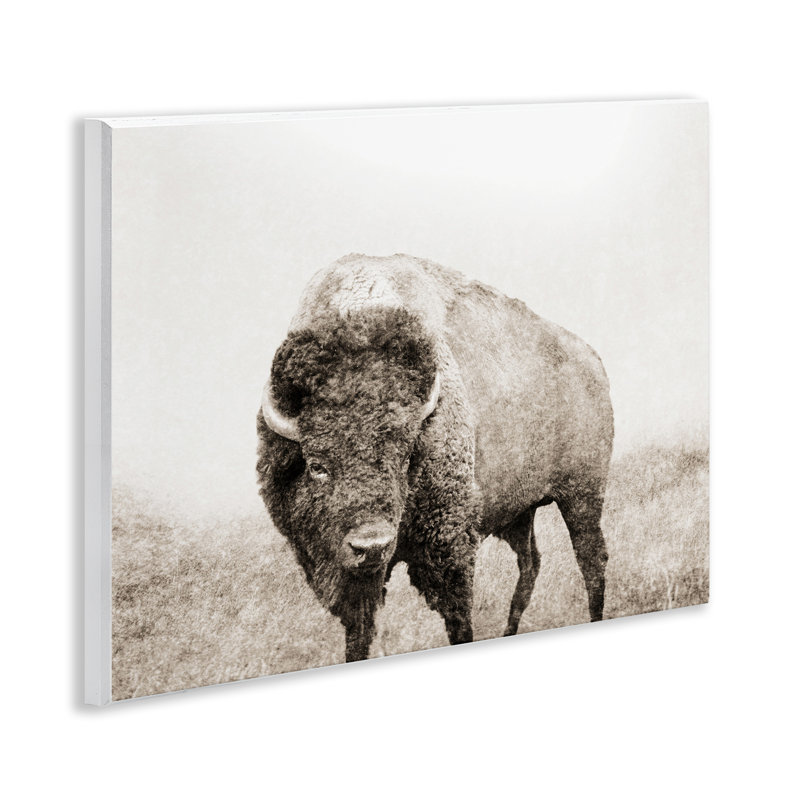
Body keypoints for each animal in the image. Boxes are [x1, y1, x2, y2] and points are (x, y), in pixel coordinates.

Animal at [257, 253, 614, 662]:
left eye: (404, 458)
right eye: (317, 466)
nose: (371, 546)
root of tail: (592, 359)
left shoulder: (449, 549)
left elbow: (458, 622)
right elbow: (358, 635)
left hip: (582, 495)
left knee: (591, 560)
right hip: (520, 512)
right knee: (530, 564)